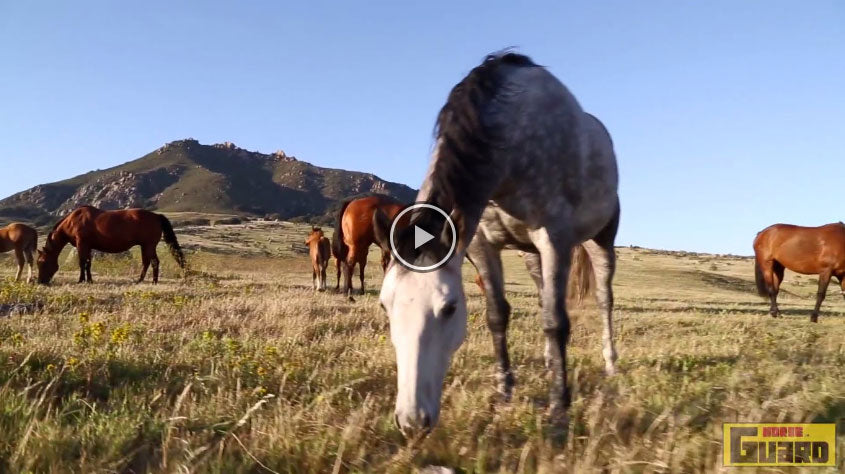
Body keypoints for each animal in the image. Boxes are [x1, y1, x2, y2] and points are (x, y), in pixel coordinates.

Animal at [37, 206, 186, 284]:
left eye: (42, 262)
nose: (40, 281)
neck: (73, 221)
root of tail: (156, 216)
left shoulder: (82, 245)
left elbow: (82, 262)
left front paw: (81, 280)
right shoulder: (88, 246)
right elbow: (88, 264)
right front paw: (89, 280)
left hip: (148, 245)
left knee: (153, 262)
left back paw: (151, 281)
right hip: (146, 246)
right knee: (148, 262)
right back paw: (141, 280)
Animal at [373, 52, 620, 436]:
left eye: (450, 309)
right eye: (386, 305)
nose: (412, 421)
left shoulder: (555, 237)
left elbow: (556, 322)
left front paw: (559, 414)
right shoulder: (481, 244)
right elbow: (497, 316)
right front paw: (504, 392)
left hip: (601, 239)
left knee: (604, 298)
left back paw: (610, 367)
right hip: (531, 253)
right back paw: (550, 363)